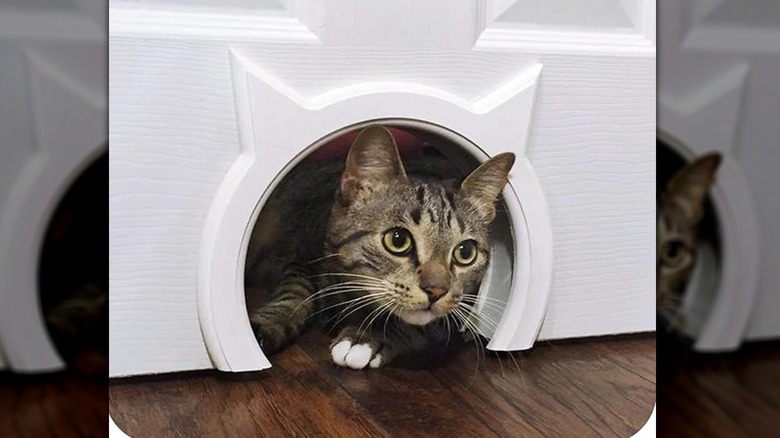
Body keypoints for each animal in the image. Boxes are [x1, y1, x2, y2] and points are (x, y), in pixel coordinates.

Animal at [247, 125, 516, 368]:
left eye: (465, 252)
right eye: (398, 240)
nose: (436, 291)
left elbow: (415, 325)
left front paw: (364, 338)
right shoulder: (302, 256)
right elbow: (294, 293)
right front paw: (264, 326)